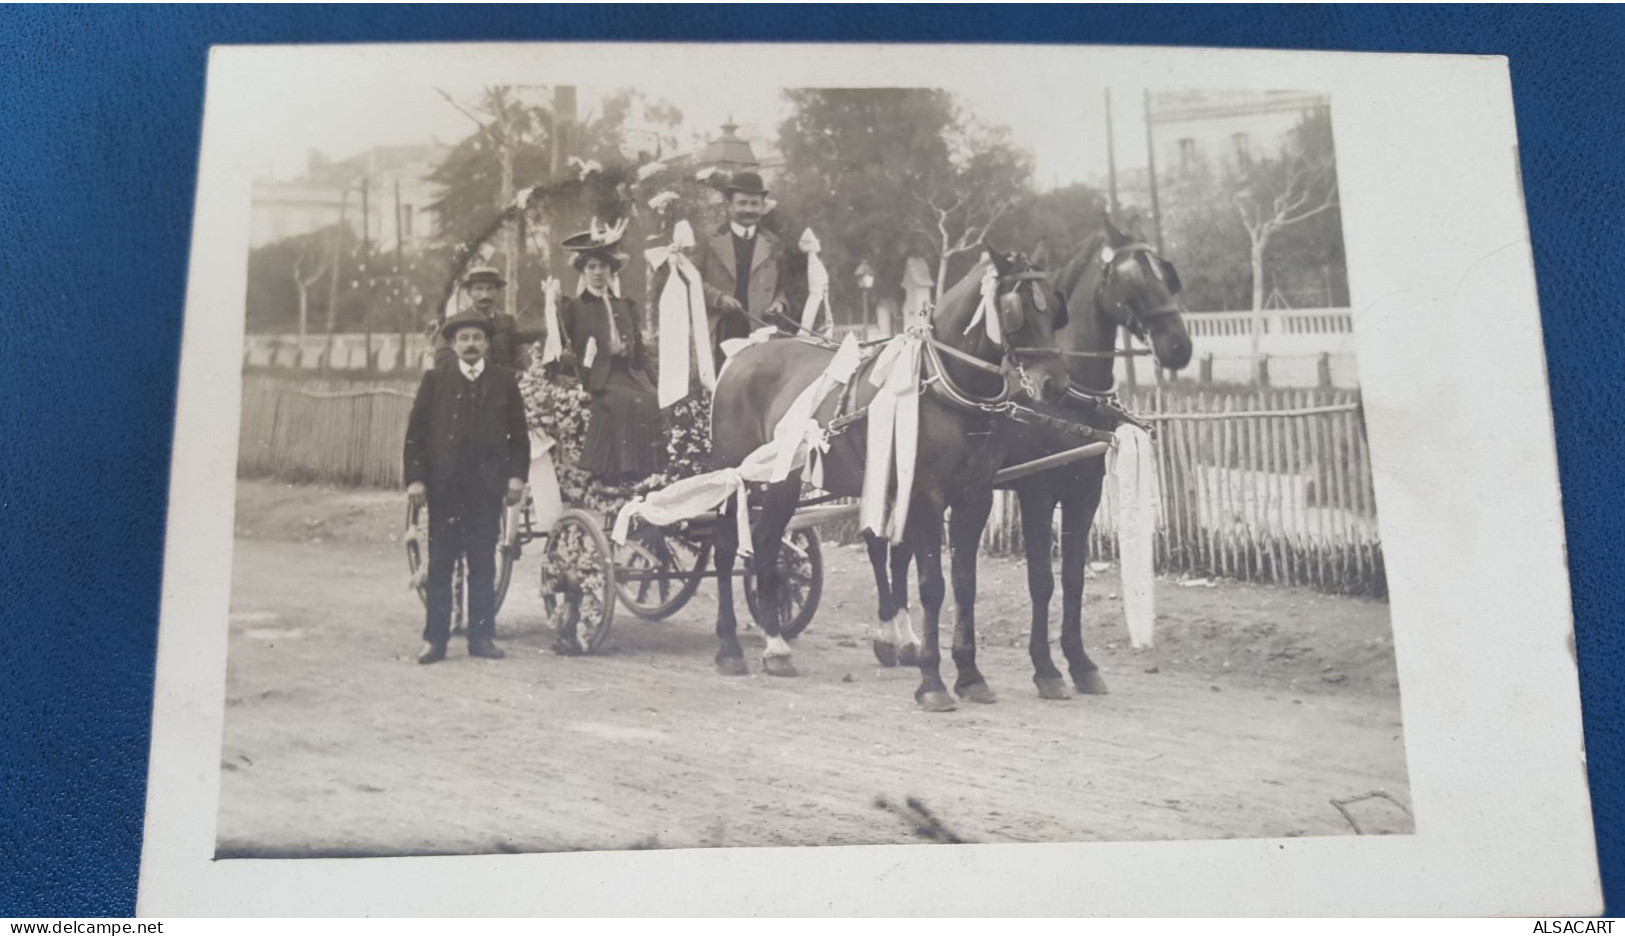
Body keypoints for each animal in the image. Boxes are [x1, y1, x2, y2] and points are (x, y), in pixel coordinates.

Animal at [708, 248, 1066, 708]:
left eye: (1055, 308)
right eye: (1014, 309)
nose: (1054, 385)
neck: (941, 383)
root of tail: (741, 356)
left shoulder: (975, 497)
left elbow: (962, 583)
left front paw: (969, 675)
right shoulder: (925, 494)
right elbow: (931, 585)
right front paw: (932, 682)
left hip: (783, 483)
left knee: (767, 546)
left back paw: (776, 647)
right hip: (738, 477)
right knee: (725, 548)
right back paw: (732, 647)